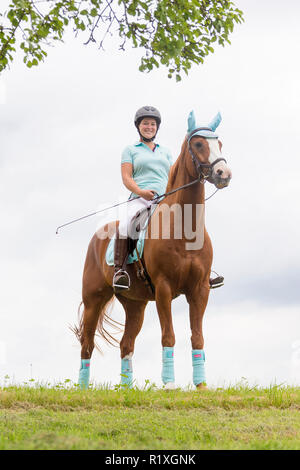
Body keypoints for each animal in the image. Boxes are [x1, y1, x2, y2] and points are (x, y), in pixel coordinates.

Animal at [74, 111, 232, 390]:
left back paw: (127, 389)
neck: (184, 228)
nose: (223, 173)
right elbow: (168, 336)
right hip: (94, 300)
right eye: (198, 144)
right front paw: (169, 385)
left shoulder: (199, 290)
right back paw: (83, 389)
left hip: (135, 305)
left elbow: (198, 337)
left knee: (126, 343)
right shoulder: (164, 289)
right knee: (87, 344)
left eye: (220, 144)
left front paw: (201, 386)